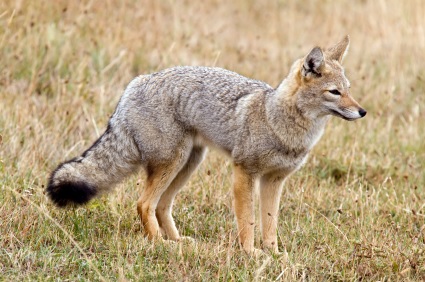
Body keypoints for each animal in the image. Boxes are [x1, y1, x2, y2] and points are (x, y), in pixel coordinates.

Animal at [46, 35, 364, 253]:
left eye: (349, 90)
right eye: (334, 93)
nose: (363, 112)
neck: (278, 120)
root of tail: (134, 84)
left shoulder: (274, 180)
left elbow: (270, 223)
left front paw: (273, 254)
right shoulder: (244, 172)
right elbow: (248, 220)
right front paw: (250, 254)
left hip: (188, 164)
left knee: (162, 205)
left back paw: (177, 241)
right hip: (172, 163)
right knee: (144, 204)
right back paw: (159, 244)